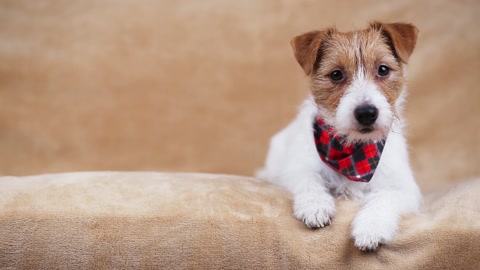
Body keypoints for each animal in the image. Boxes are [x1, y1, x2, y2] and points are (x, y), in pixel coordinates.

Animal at [256, 21, 422, 251]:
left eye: (383, 69)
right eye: (336, 74)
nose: (366, 113)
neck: (353, 150)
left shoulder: (404, 187)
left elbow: (383, 198)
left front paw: (371, 227)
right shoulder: (297, 169)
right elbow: (309, 180)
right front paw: (316, 206)